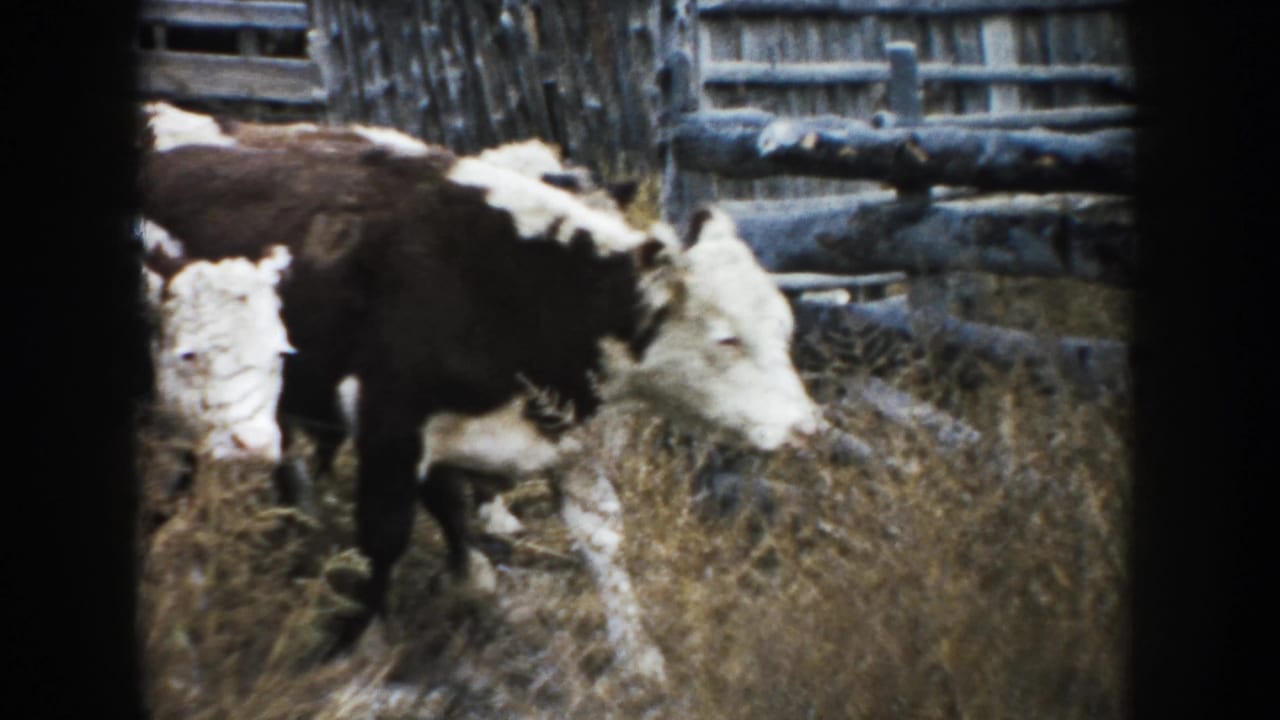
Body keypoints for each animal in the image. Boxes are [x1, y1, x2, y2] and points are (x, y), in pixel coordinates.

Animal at [139, 119, 823, 651]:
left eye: (784, 329)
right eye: (727, 338)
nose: (807, 428)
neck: (511, 287)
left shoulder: (567, 442)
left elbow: (601, 542)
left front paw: (638, 660)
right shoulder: (391, 429)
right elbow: (385, 535)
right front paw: (360, 639)